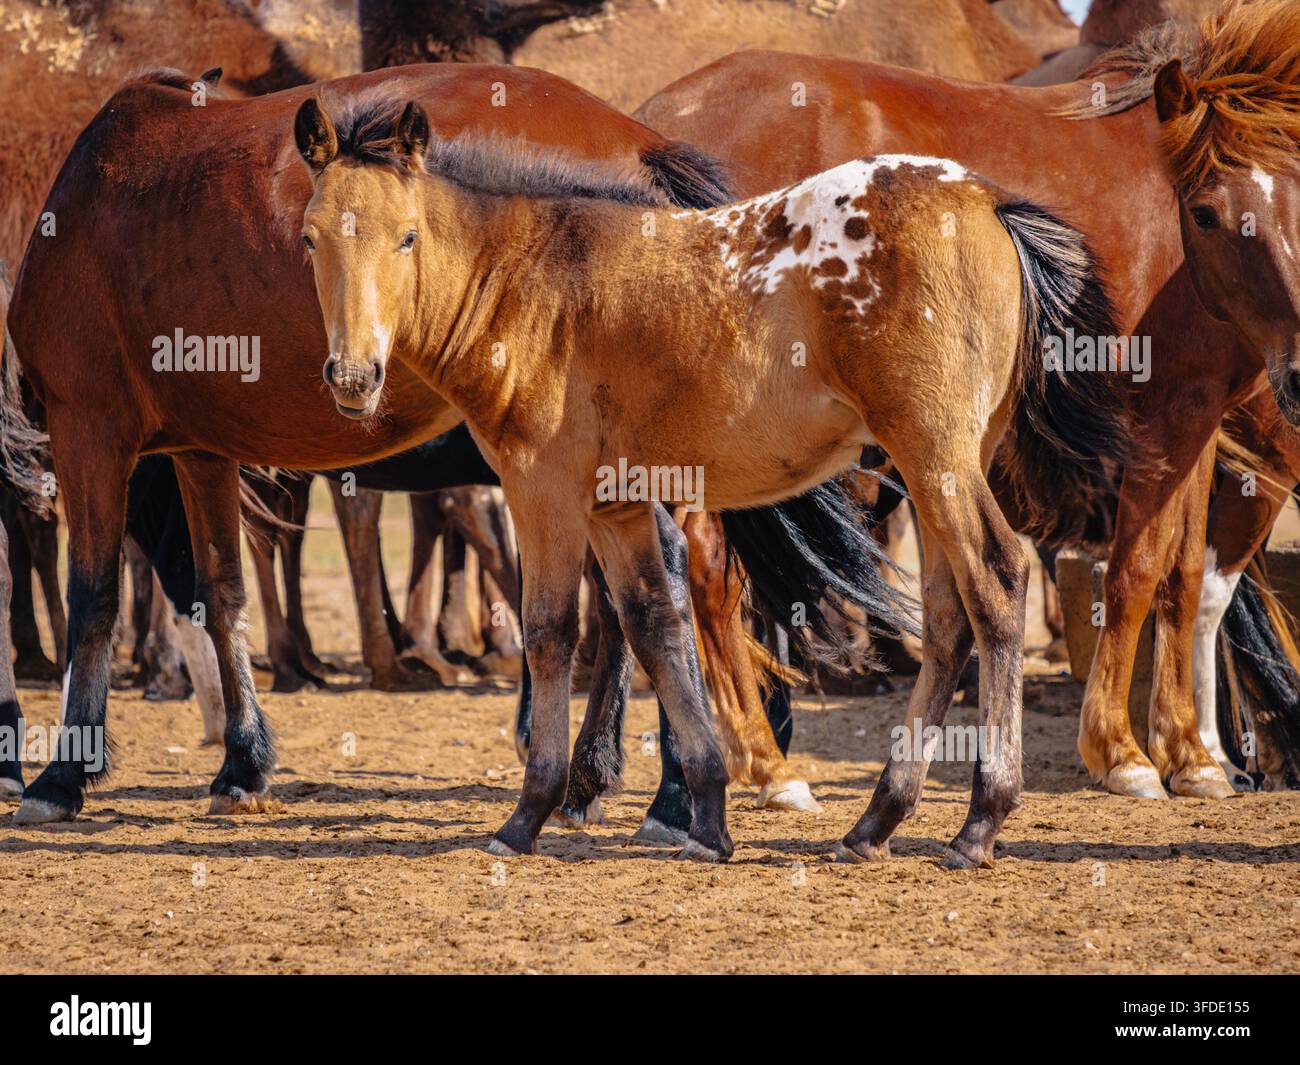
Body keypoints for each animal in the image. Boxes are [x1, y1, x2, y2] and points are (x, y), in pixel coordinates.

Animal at [293, 92, 1125, 866]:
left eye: (406, 236)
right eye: (309, 237)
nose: (353, 376)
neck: (530, 280)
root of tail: (985, 199)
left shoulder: (543, 488)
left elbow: (552, 631)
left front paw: (529, 812)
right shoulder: (617, 505)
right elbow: (654, 625)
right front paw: (706, 815)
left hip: (936, 457)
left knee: (998, 582)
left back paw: (980, 818)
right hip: (936, 467)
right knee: (951, 616)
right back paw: (876, 820)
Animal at [633, 1, 1300, 800]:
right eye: (1205, 212)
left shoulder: (1196, 423)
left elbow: (1183, 575)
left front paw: (1191, 753)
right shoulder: (1164, 420)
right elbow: (1135, 573)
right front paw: (1123, 750)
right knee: (707, 572)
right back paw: (763, 760)